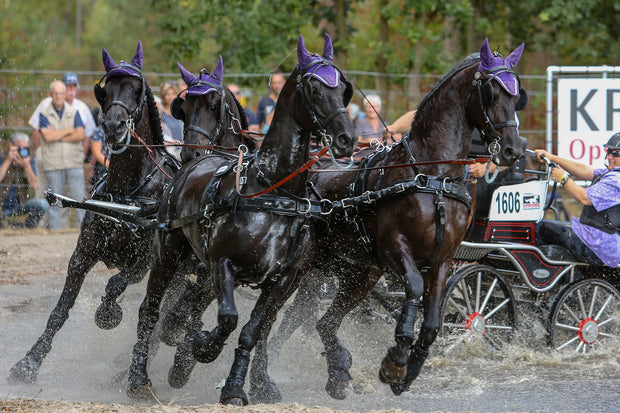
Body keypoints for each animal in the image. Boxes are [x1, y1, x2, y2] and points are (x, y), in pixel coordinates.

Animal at [126, 33, 356, 404]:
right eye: (314, 89)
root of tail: (192, 164)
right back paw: (138, 378)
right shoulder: (223, 264)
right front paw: (202, 347)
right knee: (150, 310)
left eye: (343, 89)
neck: (272, 189)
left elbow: (252, 330)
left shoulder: (285, 279)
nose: (348, 138)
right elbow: (228, 319)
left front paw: (235, 386)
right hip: (168, 252)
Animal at [248, 37, 528, 400]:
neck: (433, 175)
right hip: (315, 270)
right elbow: (413, 288)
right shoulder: (395, 247)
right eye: (491, 92)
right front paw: (396, 359)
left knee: (314, 321)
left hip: (354, 273)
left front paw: (408, 372)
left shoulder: (443, 259)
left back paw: (325, 371)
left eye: (516, 95)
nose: (512, 150)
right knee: (280, 321)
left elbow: (433, 323)